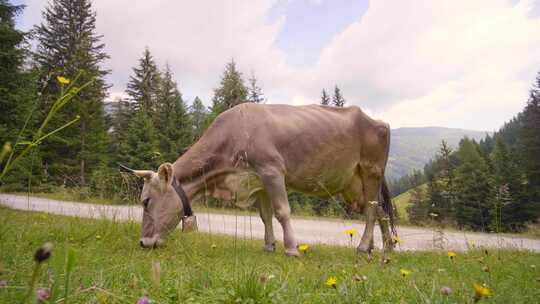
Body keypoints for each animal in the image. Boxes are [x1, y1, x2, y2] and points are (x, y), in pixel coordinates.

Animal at [123, 103, 396, 255]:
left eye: (146, 201)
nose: (143, 243)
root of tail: (379, 121)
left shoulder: (272, 170)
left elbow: (282, 211)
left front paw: (291, 248)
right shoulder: (257, 180)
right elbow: (265, 215)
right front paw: (269, 246)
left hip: (371, 170)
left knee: (372, 211)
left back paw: (363, 247)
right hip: (356, 183)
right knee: (381, 211)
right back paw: (386, 248)